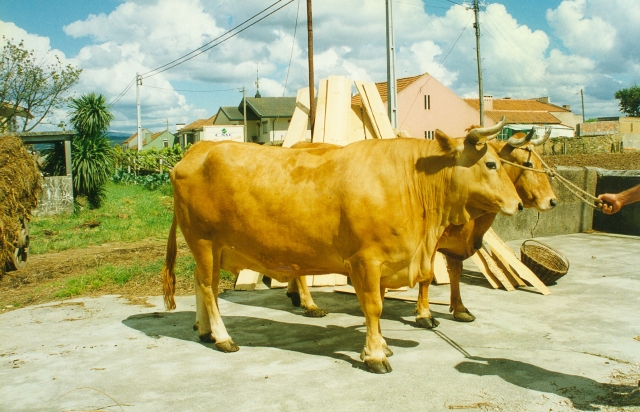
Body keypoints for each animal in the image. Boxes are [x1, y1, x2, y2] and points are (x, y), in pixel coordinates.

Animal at [162, 120, 524, 374]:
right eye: (491, 164)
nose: (519, 205)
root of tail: (197, 150)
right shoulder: (366, 260)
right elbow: (373, 307)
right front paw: (376, 354)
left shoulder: (390, 261)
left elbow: (379, 305)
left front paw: (380, 345)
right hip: (204, 240)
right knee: (207, 288)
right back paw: (223, 337)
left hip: (211, 246)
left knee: (202, 284)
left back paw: (205, 332)